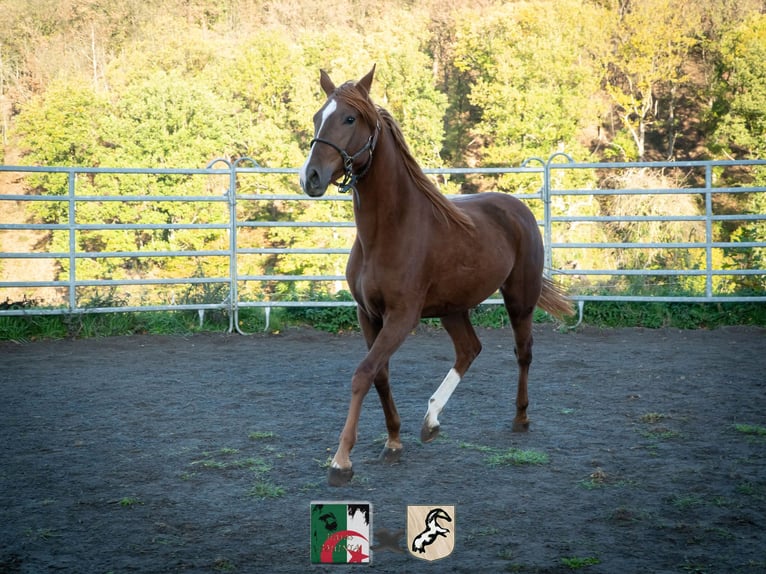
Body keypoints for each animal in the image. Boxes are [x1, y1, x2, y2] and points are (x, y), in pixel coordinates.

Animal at [299, 66, 573, 486]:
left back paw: (520, 417)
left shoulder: (402, 317)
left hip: (519, 300)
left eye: (349, 118)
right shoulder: (368, 315)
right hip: (453, 308)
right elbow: (380, 376)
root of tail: (518, 209)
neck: (388, 231)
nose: (311, 177)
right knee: (469, 350)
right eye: (318, 116)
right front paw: (394, 442)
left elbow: (363, 374)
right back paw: (430, 421)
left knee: (523, 353)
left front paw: (341, 461)